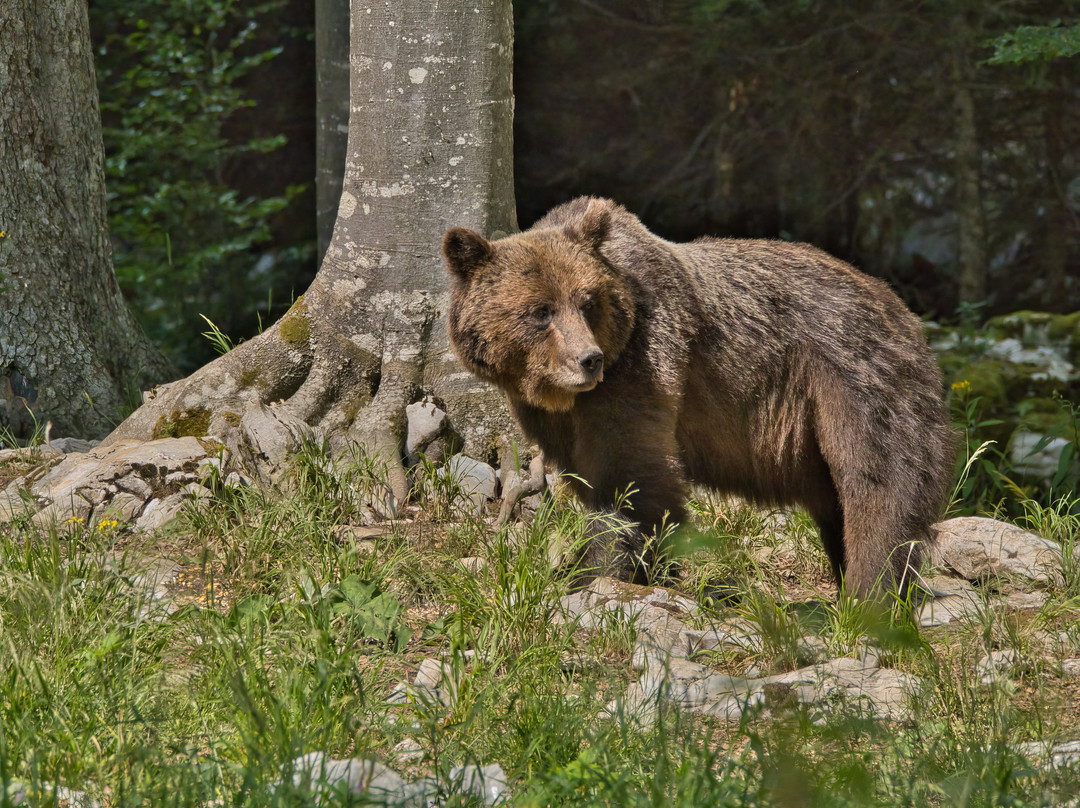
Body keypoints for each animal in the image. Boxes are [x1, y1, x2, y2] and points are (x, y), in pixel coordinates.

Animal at [442, 196, 953, 597]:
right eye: (540, 311)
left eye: (587, 302)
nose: (588, 360)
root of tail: (900, 305)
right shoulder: (550, 414)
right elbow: (589, 474)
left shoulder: (642, 365)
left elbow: (628, 476)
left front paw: (601, 571)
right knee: (836, 506)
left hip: (856, 378)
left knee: (878, 486)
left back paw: (873, 595)